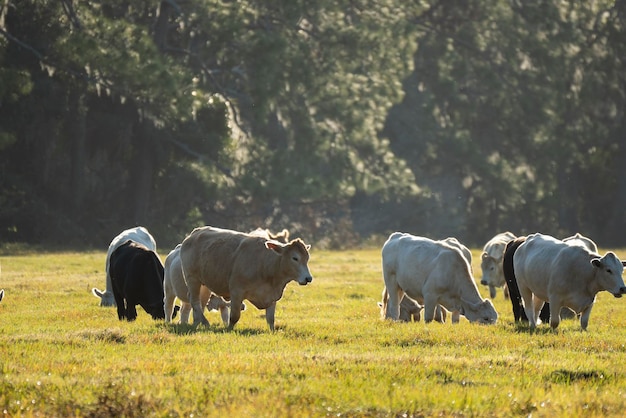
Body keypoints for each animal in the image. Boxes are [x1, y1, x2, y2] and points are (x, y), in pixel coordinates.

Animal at [179, 225, 310, 330]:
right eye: (295, 258)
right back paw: (205, 322)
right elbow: (234, 316)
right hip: (192, 279)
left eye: (307, 258)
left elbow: (270, 318)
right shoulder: (237, 292)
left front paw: (272, 331)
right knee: (194, 301)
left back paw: (197, 322)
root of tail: (195, 232)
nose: (308, 278)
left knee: (200, 302)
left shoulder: (272, 296)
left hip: (205, 284)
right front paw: (229, 329)